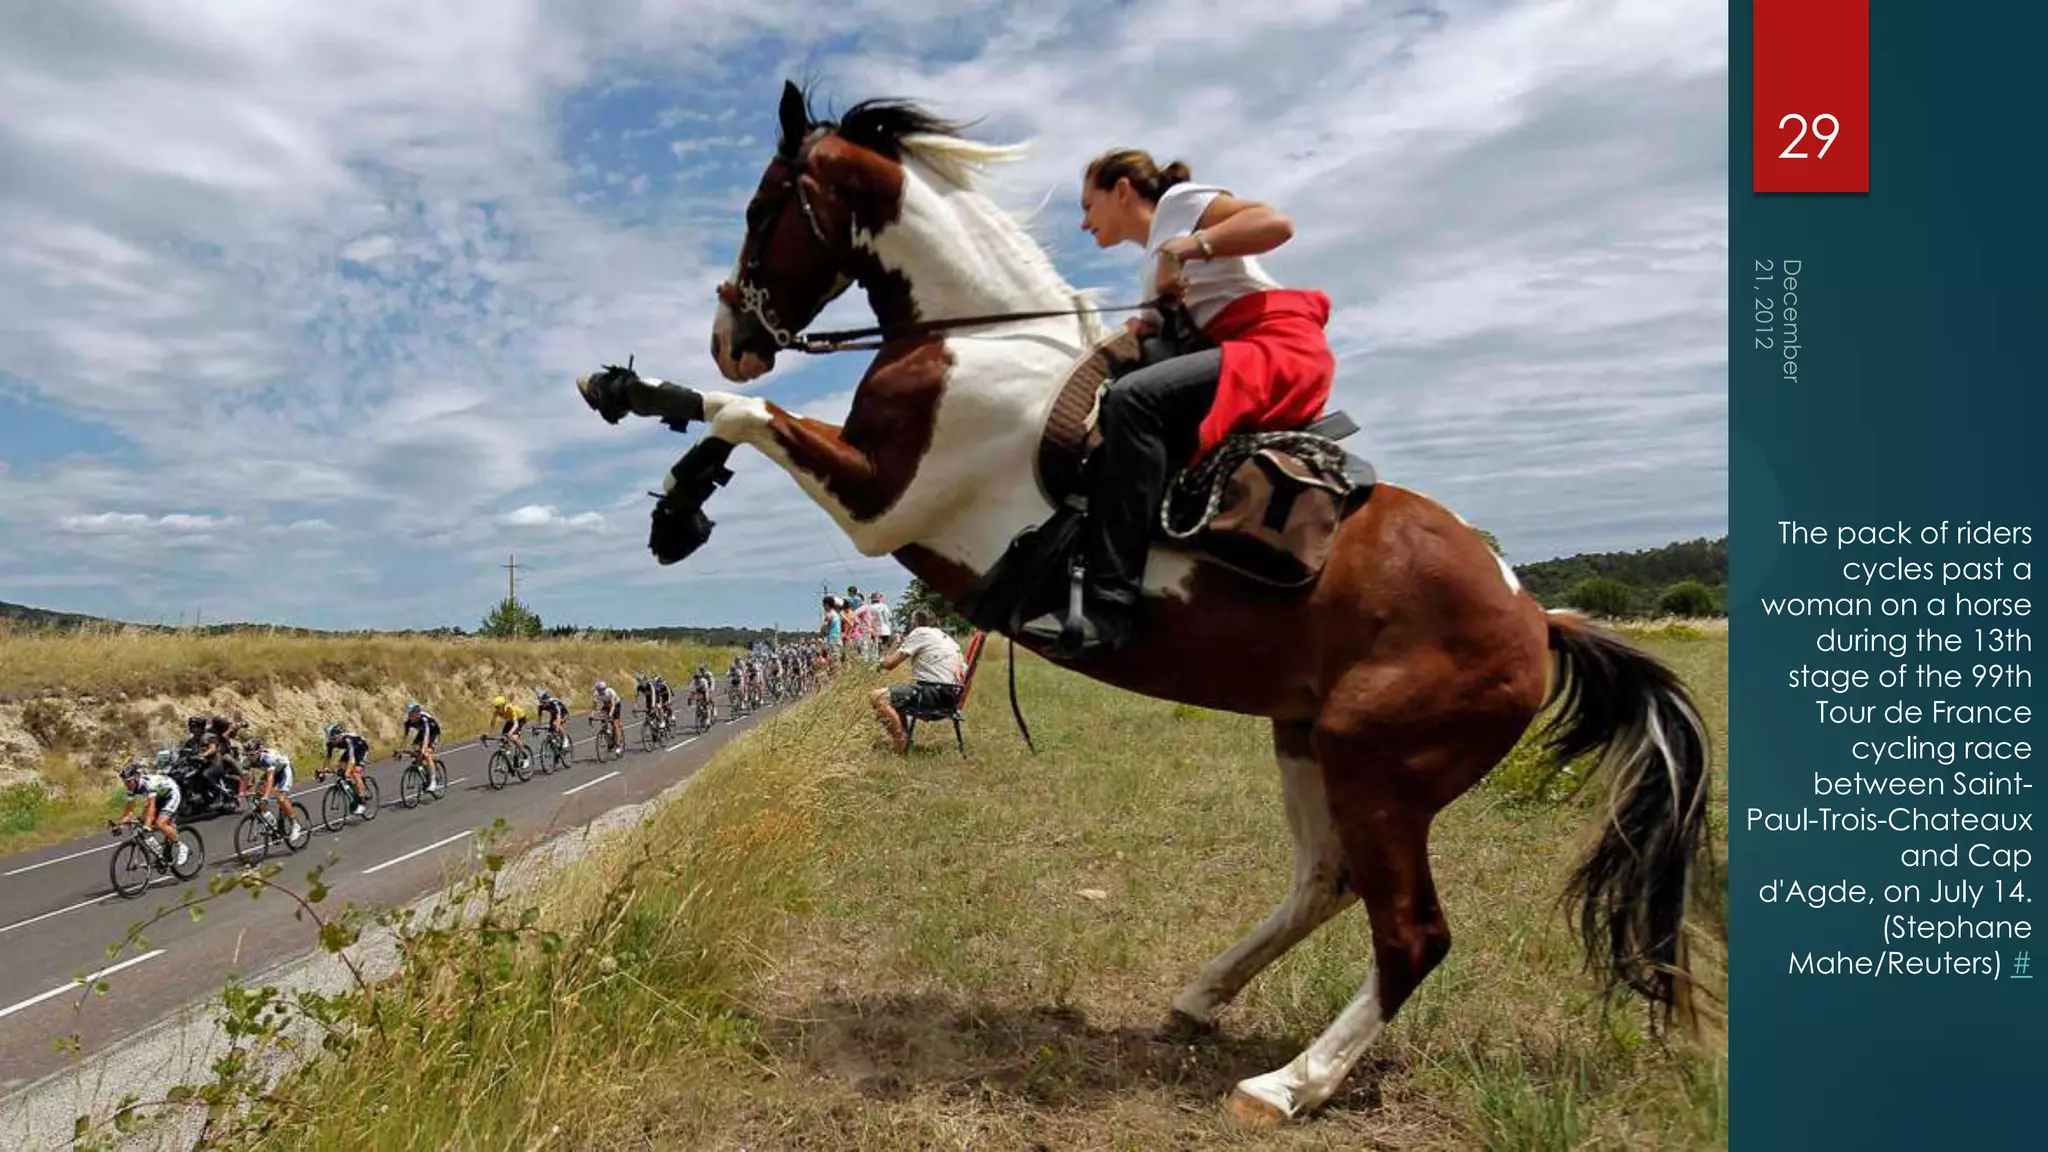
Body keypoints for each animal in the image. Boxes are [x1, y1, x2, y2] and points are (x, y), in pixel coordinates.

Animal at [575, 80, 1716, 1126]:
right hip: (1307, 739)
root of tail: (1536, 620)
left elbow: (748, 412)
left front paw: (649, 416)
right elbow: (741, 419)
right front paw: (671, 491)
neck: (976, 339)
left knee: (1410, 935)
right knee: (1324, 882)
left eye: (765, 202)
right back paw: (1201, 995)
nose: (730, 331)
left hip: (1379, 763)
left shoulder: (879, 498)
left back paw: (1288, 1084)